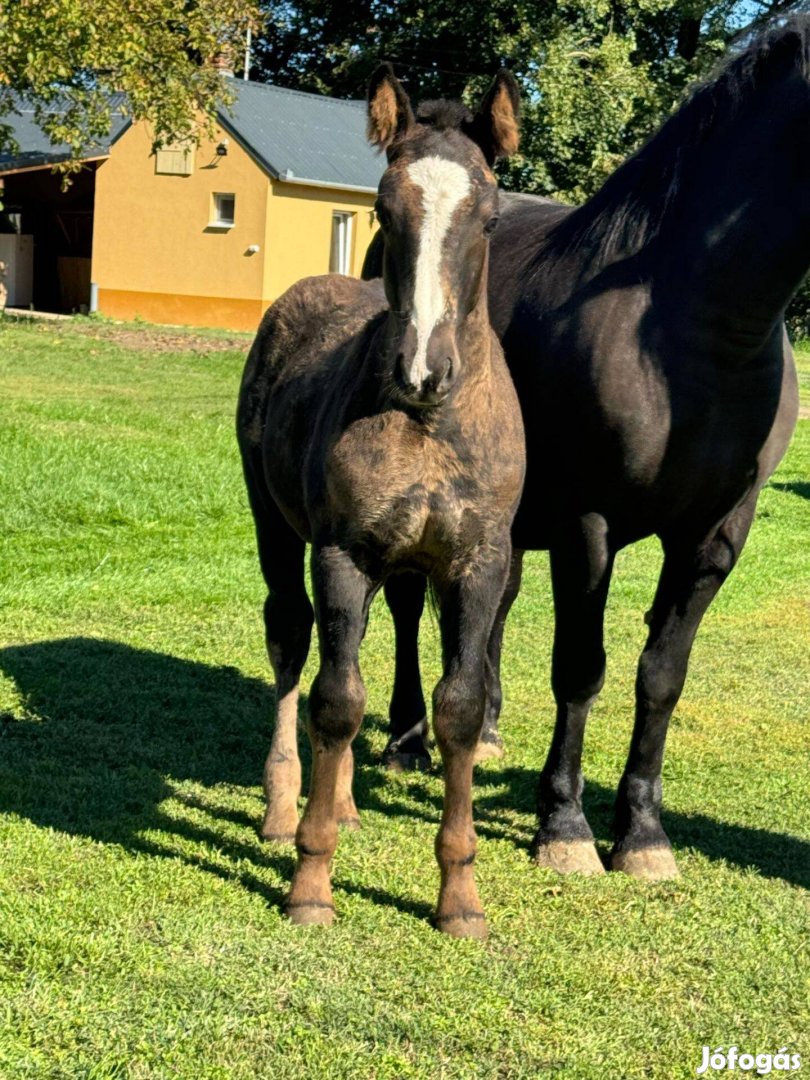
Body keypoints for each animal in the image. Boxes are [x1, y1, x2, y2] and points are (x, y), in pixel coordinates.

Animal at [237, 67, 522, 937]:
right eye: (386, 208)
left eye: (489, 215)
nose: (423, 367)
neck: (430, 424)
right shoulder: (343, 553)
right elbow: (335, 701)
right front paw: (310, 880)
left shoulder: (478, 563)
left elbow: (458, 706)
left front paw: (461, 898)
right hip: (274, 525)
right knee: (294, 643)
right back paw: (285, 804)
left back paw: (345, 802)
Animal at [367, 16, 807, 881]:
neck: (685, 331)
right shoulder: (588, 526)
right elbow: (581, 668)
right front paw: (565, 828)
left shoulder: (714, 539)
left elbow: (661, 676)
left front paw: (642, 835)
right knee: (405, 603)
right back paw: (407, 740)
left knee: (494, 605)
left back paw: (486, 731)